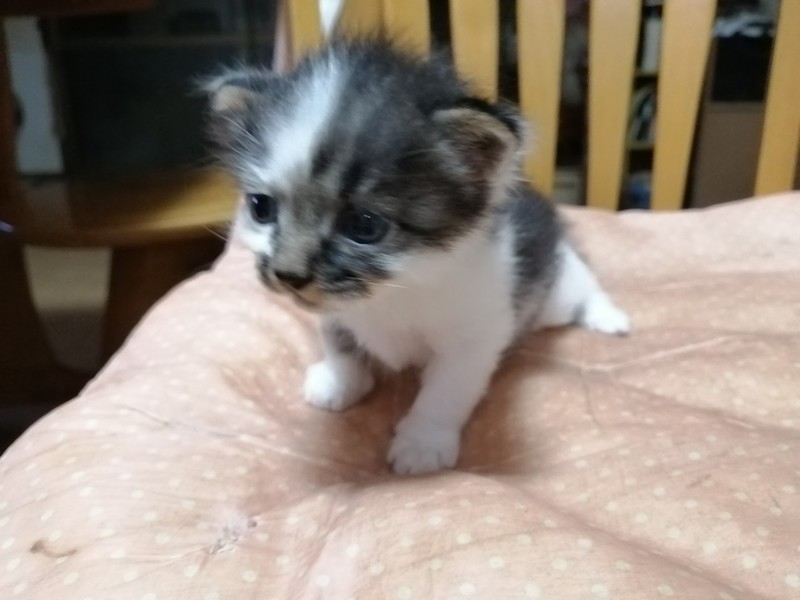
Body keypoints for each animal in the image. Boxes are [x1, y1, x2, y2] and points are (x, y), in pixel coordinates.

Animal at [205, 39, 630, 475]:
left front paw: (423, 443)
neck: (395, 287)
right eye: (261, 208)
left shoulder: (475, 335)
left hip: (552, 298)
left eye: (364, 225)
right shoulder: (335, 311)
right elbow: (339, 342)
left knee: (582, 284)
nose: (288, 275)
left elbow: (446, 391)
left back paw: (608, 316)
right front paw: (340, 382)